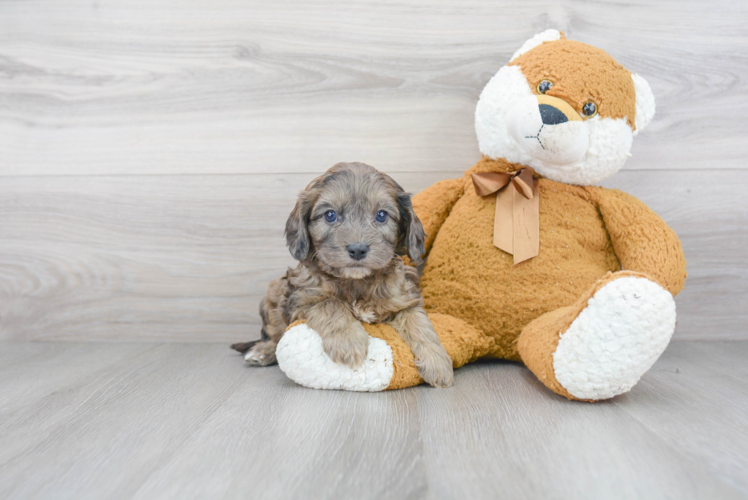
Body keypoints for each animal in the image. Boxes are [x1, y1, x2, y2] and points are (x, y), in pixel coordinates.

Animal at [234, 162, 452, 388]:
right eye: (330, 215)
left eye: (381, 215)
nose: (357, 249)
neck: (355, 282)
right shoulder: (301, 299)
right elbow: (331, 304)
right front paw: (348, 342)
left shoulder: (404, 299)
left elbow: (420, 323)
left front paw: (438, 363)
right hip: (274, 292)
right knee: (275, 335)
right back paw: (262, 351)